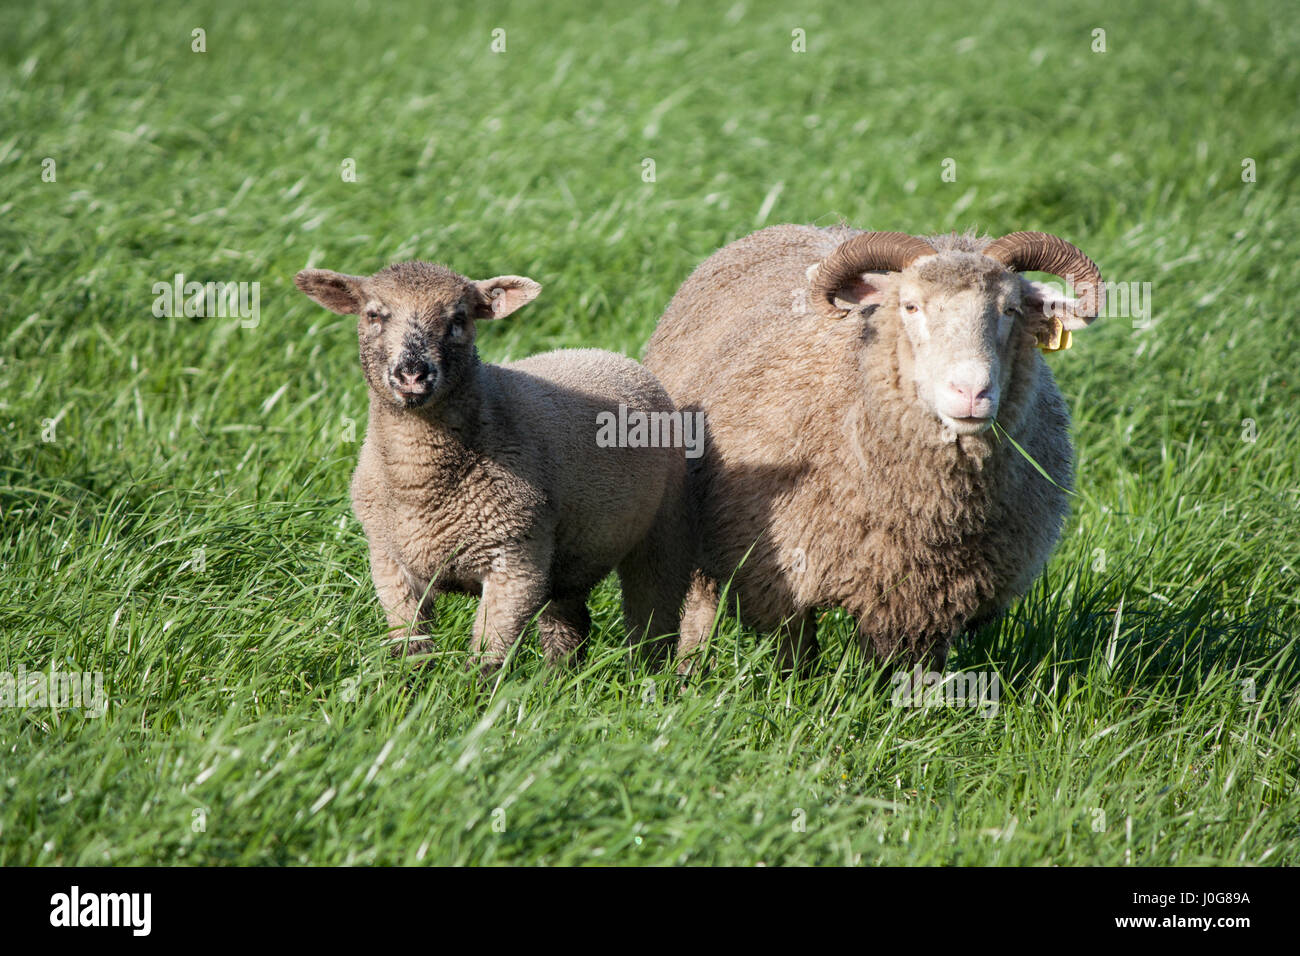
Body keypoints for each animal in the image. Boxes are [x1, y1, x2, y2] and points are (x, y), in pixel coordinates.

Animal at [297, 257, 691, 671]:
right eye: (373, 315)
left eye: (458, 319)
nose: (412, 374)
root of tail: (605, 353)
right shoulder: (390, 563)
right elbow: (413, 650)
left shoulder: (516, 562)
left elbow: (488, 659)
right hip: (566, 559)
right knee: (568, 622)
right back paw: (557, 677)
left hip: (664, 526)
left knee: (653, 612)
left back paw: (648, 673)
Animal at [634, 226, 1102, 671]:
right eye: (910, 307)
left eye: (1010, 309)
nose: (971, 392)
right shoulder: (780, 574)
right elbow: (795, 660)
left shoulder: (927, 601)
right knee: (699, 608)